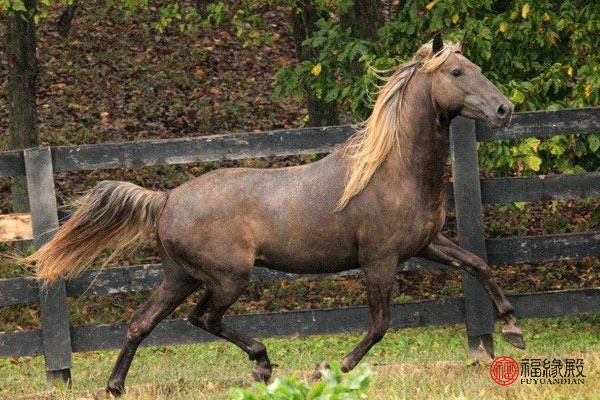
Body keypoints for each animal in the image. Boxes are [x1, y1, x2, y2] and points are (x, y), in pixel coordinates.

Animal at [28, 35, 524, 396]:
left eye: (478, 68)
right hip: (228, 277)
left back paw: (117, 385)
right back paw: (262, 364)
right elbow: (380, 325)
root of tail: (167, 198)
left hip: (179, 276)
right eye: (457, 72)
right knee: (203, 319)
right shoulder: (379, 261)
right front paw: (327, 369)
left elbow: (478, 264)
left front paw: (514, 328)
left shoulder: (427, 244)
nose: (504, 109)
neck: (392, 170)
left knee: (141, 322)